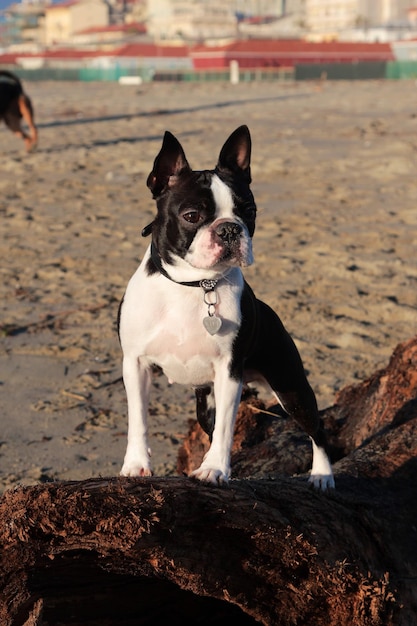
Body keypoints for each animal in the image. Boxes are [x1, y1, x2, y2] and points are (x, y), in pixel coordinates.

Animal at [118, 125, 334, 488]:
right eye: (192, 216)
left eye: (250, 212)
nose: (230, 229)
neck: (194, 285)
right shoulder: (135, 364)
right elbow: (137, 419)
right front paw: (136, 464)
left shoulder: (229, 372)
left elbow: (225, 430)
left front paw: (215, 469)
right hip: (206, 400)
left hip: (290, 386)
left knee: (317, 429)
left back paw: (322, 474)